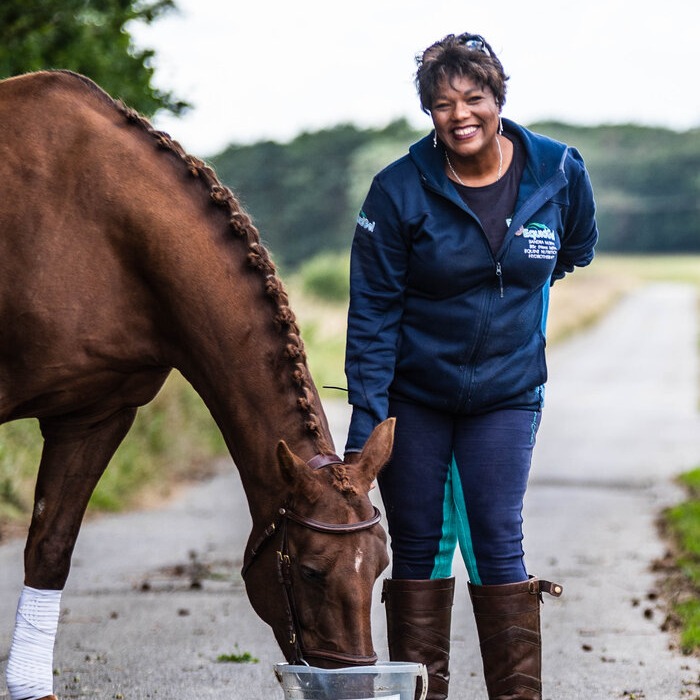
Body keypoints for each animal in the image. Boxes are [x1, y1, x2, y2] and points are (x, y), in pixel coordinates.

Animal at [0, 68, 394, 696]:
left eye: (379, 566)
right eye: (310, 571)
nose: (351, 683)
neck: (98, 229)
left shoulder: (96, 415)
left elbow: (51, 548)